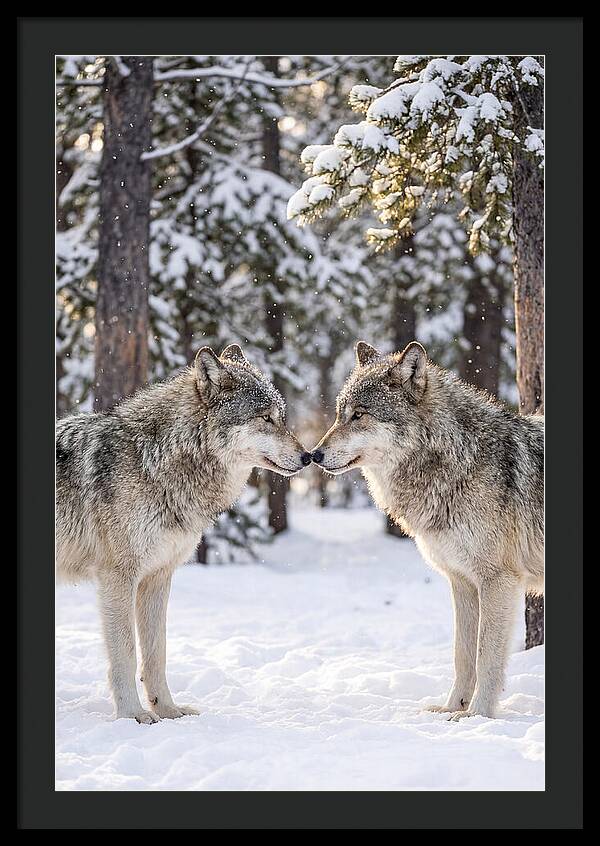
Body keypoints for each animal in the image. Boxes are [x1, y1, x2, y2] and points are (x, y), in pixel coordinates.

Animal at [56, 344, 311, 723]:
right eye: (265, 418)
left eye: (281, 418)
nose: (309, 456)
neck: (154, 462)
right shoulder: (118, 577)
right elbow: (126, 652)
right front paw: (133, 715)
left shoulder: (158, 576)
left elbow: (156, 652)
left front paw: (168, 709)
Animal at [312, 340, 544, 719]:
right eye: (338, 415)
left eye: (359, 415)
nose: (313, 455)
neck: (457, 461)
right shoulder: (462, 582)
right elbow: (462, 655)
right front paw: (451, 708)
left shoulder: (498, 581)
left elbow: (486, 657)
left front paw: (477, 715)